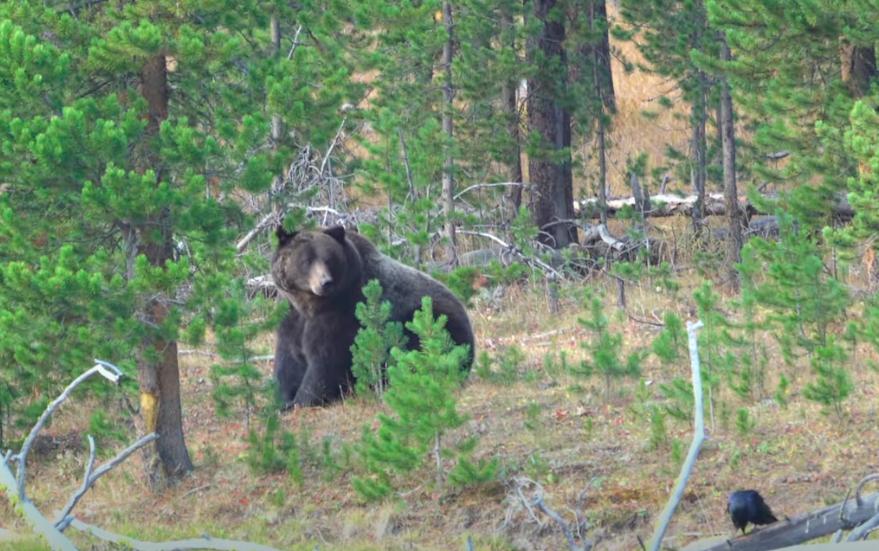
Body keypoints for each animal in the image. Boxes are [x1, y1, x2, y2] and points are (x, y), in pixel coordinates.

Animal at [271, 224, 475, 408]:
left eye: (328, 259)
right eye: (306, 261)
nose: (325, 282)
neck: (311, 305)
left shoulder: (342, 314)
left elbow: (324, 361)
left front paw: (302, 401)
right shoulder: (292, 316)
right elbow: (288, 360)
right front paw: (282, 399)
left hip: (430, 321)